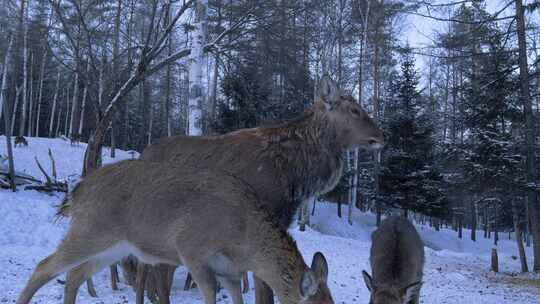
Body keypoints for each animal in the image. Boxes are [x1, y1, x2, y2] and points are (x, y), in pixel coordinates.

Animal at [16, 159, 336, 304]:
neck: (244, 240)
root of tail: (78, 189)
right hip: (90, 229)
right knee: (45, 266)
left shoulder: (230, 271)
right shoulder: (191, 249)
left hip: (115, 247)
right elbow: (209, 294)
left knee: (74, 275)